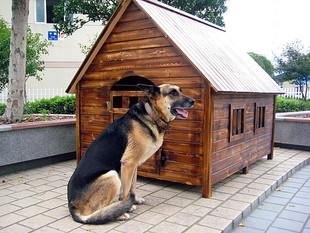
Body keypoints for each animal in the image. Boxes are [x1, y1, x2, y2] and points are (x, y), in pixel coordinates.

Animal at [68, 83, 194, 224]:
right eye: (173, 92)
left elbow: (132, 186)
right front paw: (126, 205)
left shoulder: (134, 165)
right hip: (112, 176)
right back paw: (118, 214)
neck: (152, 115)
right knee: (94, 212)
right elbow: (126, 190)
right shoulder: (128, 164)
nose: (193, 101)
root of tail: (72, 207)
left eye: (181, 90)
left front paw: (135, 199)